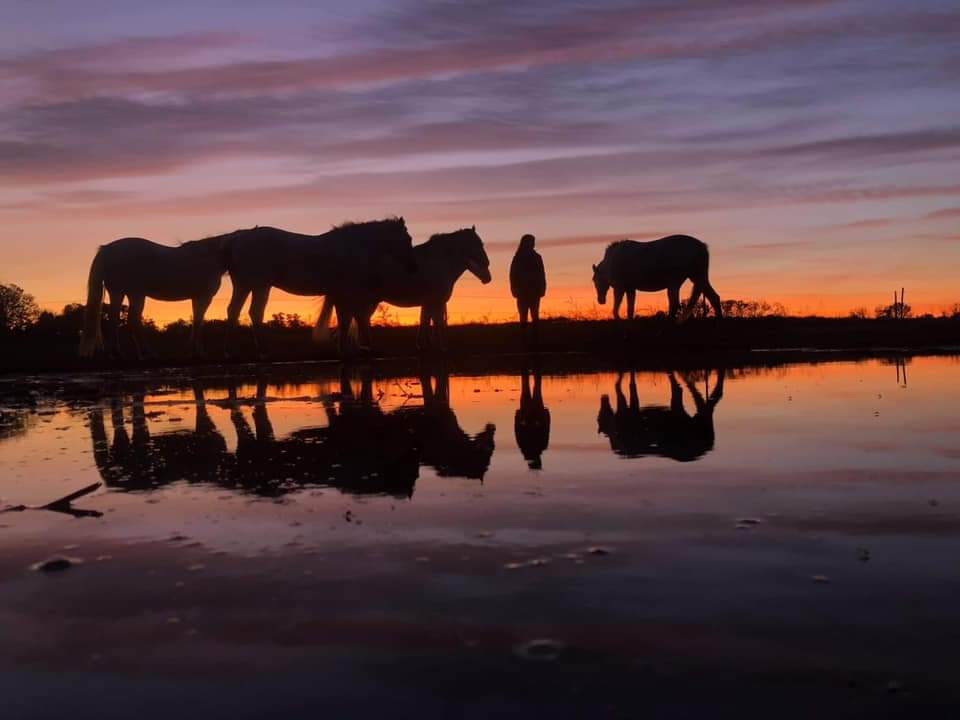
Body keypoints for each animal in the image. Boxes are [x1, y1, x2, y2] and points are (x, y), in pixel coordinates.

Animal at [78, 236, 227, 360]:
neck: (209, 256)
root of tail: (107, 250)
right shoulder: (204, 297)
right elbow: (199, 322)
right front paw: (198, 352)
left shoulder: (196, 298)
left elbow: (196, 321)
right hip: (135, 294)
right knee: (132, 319)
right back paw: (145, 353)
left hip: (119, 293)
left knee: (114, 318)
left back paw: (117, 353)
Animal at [221, 217, 416, 358]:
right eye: (408, 238)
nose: (412, 266)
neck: (353, 247)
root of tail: (237, 239)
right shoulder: (346, 293)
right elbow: (352, 319)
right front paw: (355, 349)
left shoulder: (339, 293)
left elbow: (348, 319)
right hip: (259, 285)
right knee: (254, 312)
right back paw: (262, 351)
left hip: (245, 285)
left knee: (233, 311)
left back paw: (230, 351)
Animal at [318, 226, 492, 352]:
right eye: (477, 244)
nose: (487, 276)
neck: (438, 262)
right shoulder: (435, 302)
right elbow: (437, 324)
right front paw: (440, 348)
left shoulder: (428, 303)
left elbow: (425, 322)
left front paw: (424, 345)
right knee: (354, 319)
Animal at [592, 235, 720, 322]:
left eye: (595, 280)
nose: (601, 300)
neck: (612, 261)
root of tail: (701, 246)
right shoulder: (630, 289)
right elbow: (630, 309)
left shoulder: (619, 288)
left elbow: (616, 307)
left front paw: (618, 318)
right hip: (698, 279)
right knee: (714, 297)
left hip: (675, 282)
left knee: (674, 304)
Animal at [596, 368, 724, 464]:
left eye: (599, 417)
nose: (603, 397)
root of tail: (708, 445)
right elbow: (624, 384)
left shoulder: (630, 410)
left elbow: (626, 387)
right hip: (690, 415)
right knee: (702, 398)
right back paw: (688, 382)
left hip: (682, 413)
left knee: (685, 392)